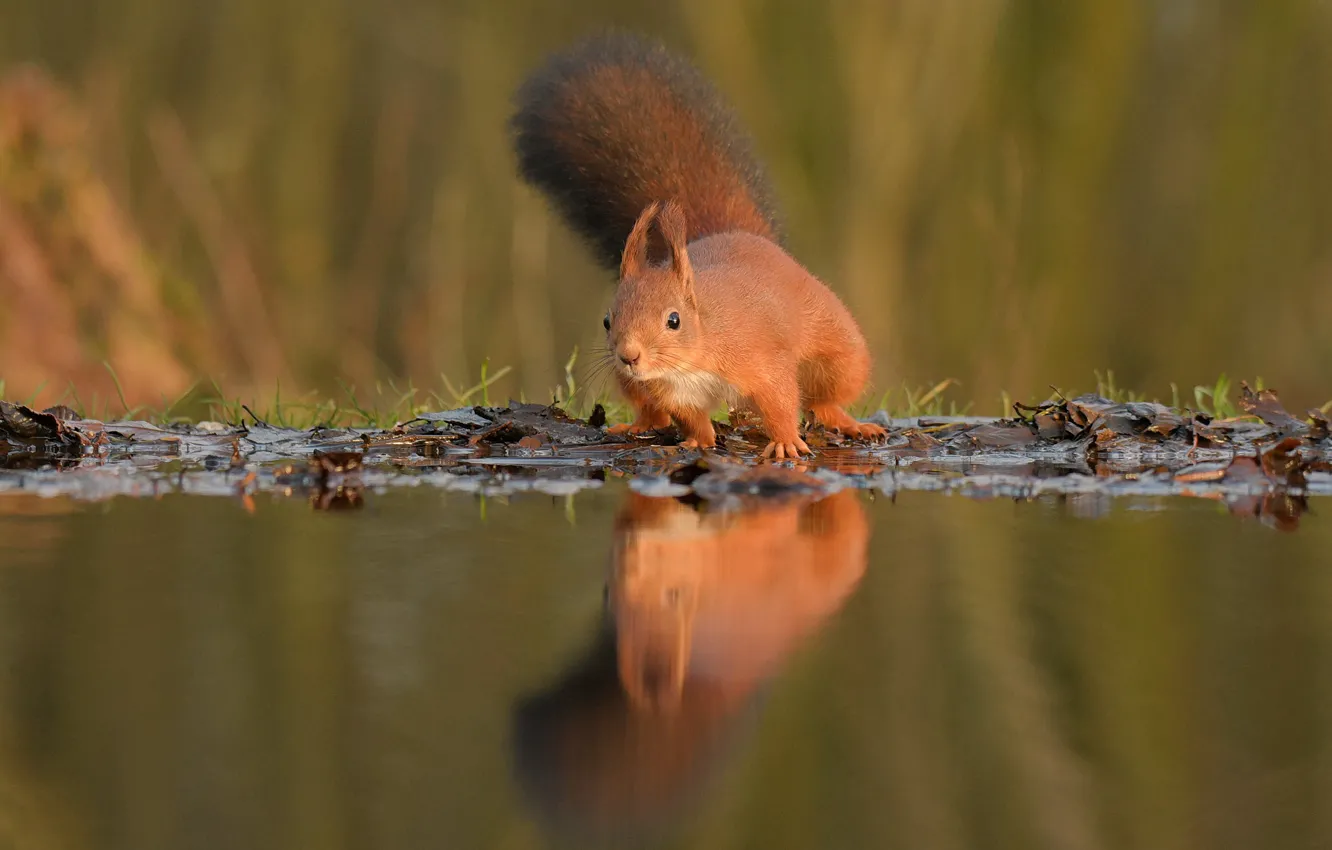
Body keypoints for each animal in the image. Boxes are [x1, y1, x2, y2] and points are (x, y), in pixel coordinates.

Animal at [508, 33, 884, 458]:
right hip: (632, 383)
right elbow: (688, 415)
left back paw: (850, 422)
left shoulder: (761, 360)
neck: (693, 356)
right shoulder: (670, 389)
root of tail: (741, 235)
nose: (629, 356)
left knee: (826, 396)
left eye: (674, 320)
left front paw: (786, 440)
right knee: (651, 410)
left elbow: (781, 400)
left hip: (836, 351)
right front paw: (698, 440)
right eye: (607, 320)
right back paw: (639, 424)